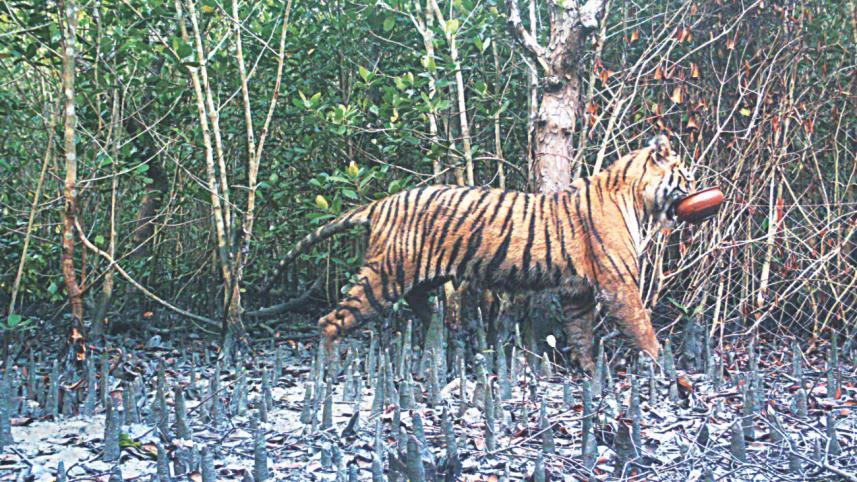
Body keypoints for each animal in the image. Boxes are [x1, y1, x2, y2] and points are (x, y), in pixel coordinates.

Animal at [271, 135, 694, 370]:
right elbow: (642, 328)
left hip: (420, 276)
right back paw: (329, 370)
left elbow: (581, 334)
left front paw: (590, 375)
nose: (697, 185)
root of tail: (383, 203)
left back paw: (443, 337)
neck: (637, 197)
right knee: (331, 320)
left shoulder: (579, 292)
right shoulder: (618, 285)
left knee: (423, 303)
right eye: (685, 176)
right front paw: (663, 369)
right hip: (384, 277)